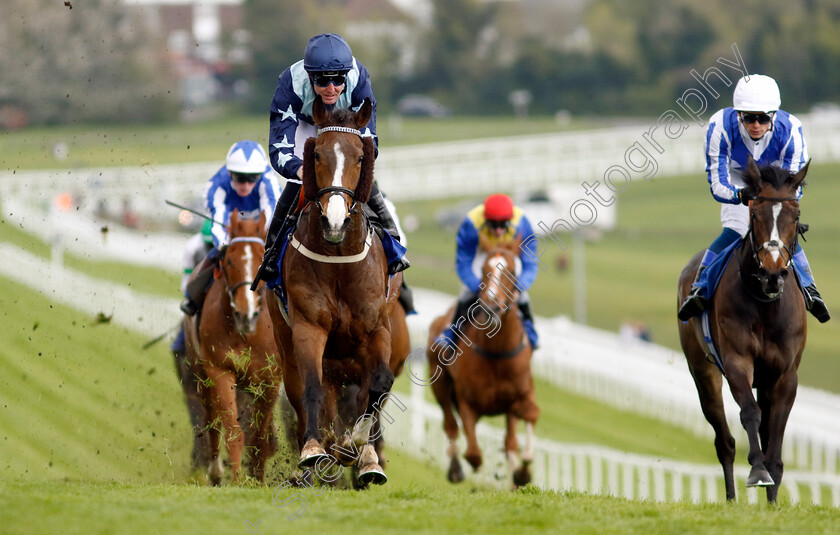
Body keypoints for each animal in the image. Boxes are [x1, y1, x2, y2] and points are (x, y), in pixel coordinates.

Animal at [182, 211, 280, 488]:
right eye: (229, 261)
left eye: (262, 260)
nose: (246, 314)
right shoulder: (220, 369)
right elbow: (234, 430)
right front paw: (237, 480)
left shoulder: (270, 378)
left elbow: (259, 435)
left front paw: (257, 479)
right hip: (200, 372)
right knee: (211, 420)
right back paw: (216, 473)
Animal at [270, 95, 398, 486]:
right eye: (316, 155)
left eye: (359, 157)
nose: (335, 221)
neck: (340, 259)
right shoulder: (309, 327)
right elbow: (311, 387)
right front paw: (315, 450)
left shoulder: (376, 327)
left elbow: (379, 383)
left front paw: (358, 449)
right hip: (287, 343)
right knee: (304, 393)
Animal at [426, 241, 540, 488]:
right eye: (484, 269)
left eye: (512, 271)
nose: (491, 305)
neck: (496, 353)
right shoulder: (466, 401)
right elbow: (473, 454)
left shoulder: (521, 395)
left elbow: (528, 422)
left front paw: (521, 474)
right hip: (440, 385)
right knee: (450, 425)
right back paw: (455, 469)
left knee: (509, 441)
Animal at [680, 158, 812, 502]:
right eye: (754, 214)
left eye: (796, 216)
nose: (773, 273)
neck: (765, 306)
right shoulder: (737, 361)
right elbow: (750, 414)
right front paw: (757, 471)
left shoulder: (785, 374)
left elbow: (774, 433)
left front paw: (774, 496)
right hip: (703, 373)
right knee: (724, 442)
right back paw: (730, 498)